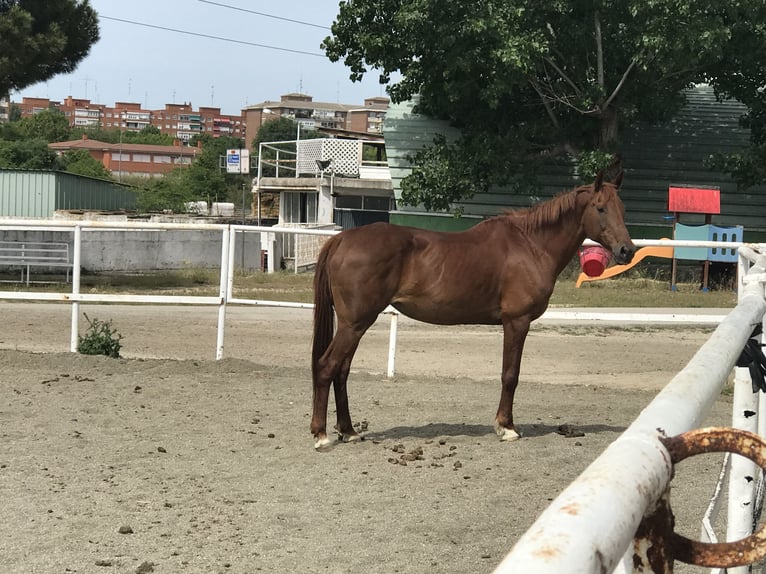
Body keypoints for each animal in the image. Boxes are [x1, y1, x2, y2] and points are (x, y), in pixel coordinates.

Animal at [310, 164, 636, 452]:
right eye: (600, 208)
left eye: (622, 208)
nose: (626, 250)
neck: (531, 245)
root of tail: (342, 239)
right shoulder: (517, 321)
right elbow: (510, 374)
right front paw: (506, 427)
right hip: (355, 323)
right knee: (327, 367)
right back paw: (322, 435)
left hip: (356, 324)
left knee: (342, 371)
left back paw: (349, 431)